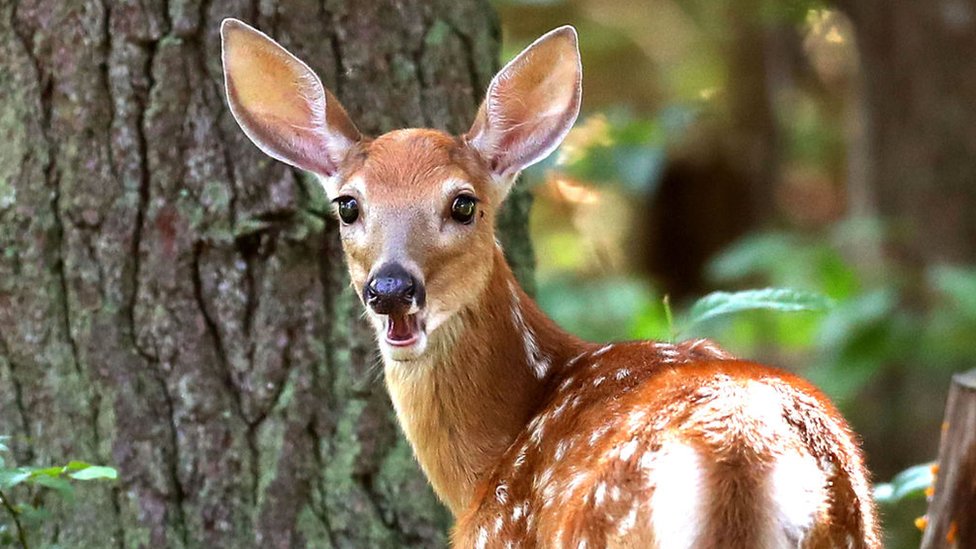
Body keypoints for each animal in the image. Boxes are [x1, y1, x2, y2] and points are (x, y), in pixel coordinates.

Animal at [223, 18, 884, 548]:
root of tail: (740, 458)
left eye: (463, 204)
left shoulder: (502, 532)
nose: (390, 289)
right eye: (347, 206)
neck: (490, 461)